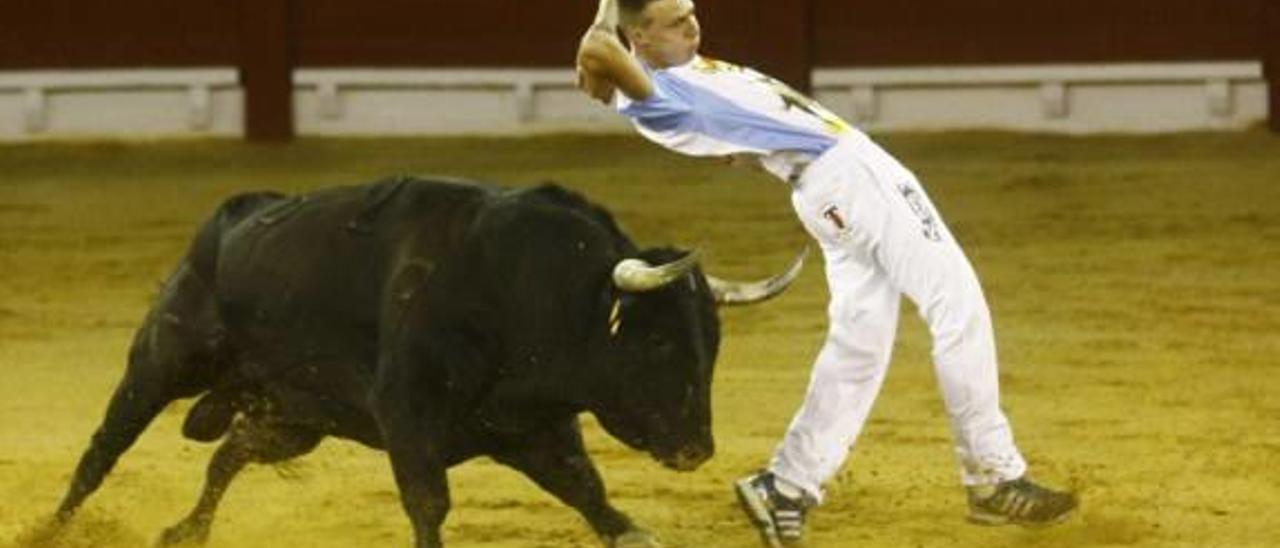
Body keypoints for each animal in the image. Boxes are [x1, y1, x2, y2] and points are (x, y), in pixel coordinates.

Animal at [47, 177, 798, 545]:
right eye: (660, 341)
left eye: (713, 343)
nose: (696, 449)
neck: (526, 286)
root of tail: (228, 221)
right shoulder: (408, 415)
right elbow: (429, 503)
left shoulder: (535, 427)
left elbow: (594, 497)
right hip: (161, 362)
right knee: (100, 452)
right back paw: (51, 529)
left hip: (292, 417)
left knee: (227, 453)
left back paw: (186, 531)